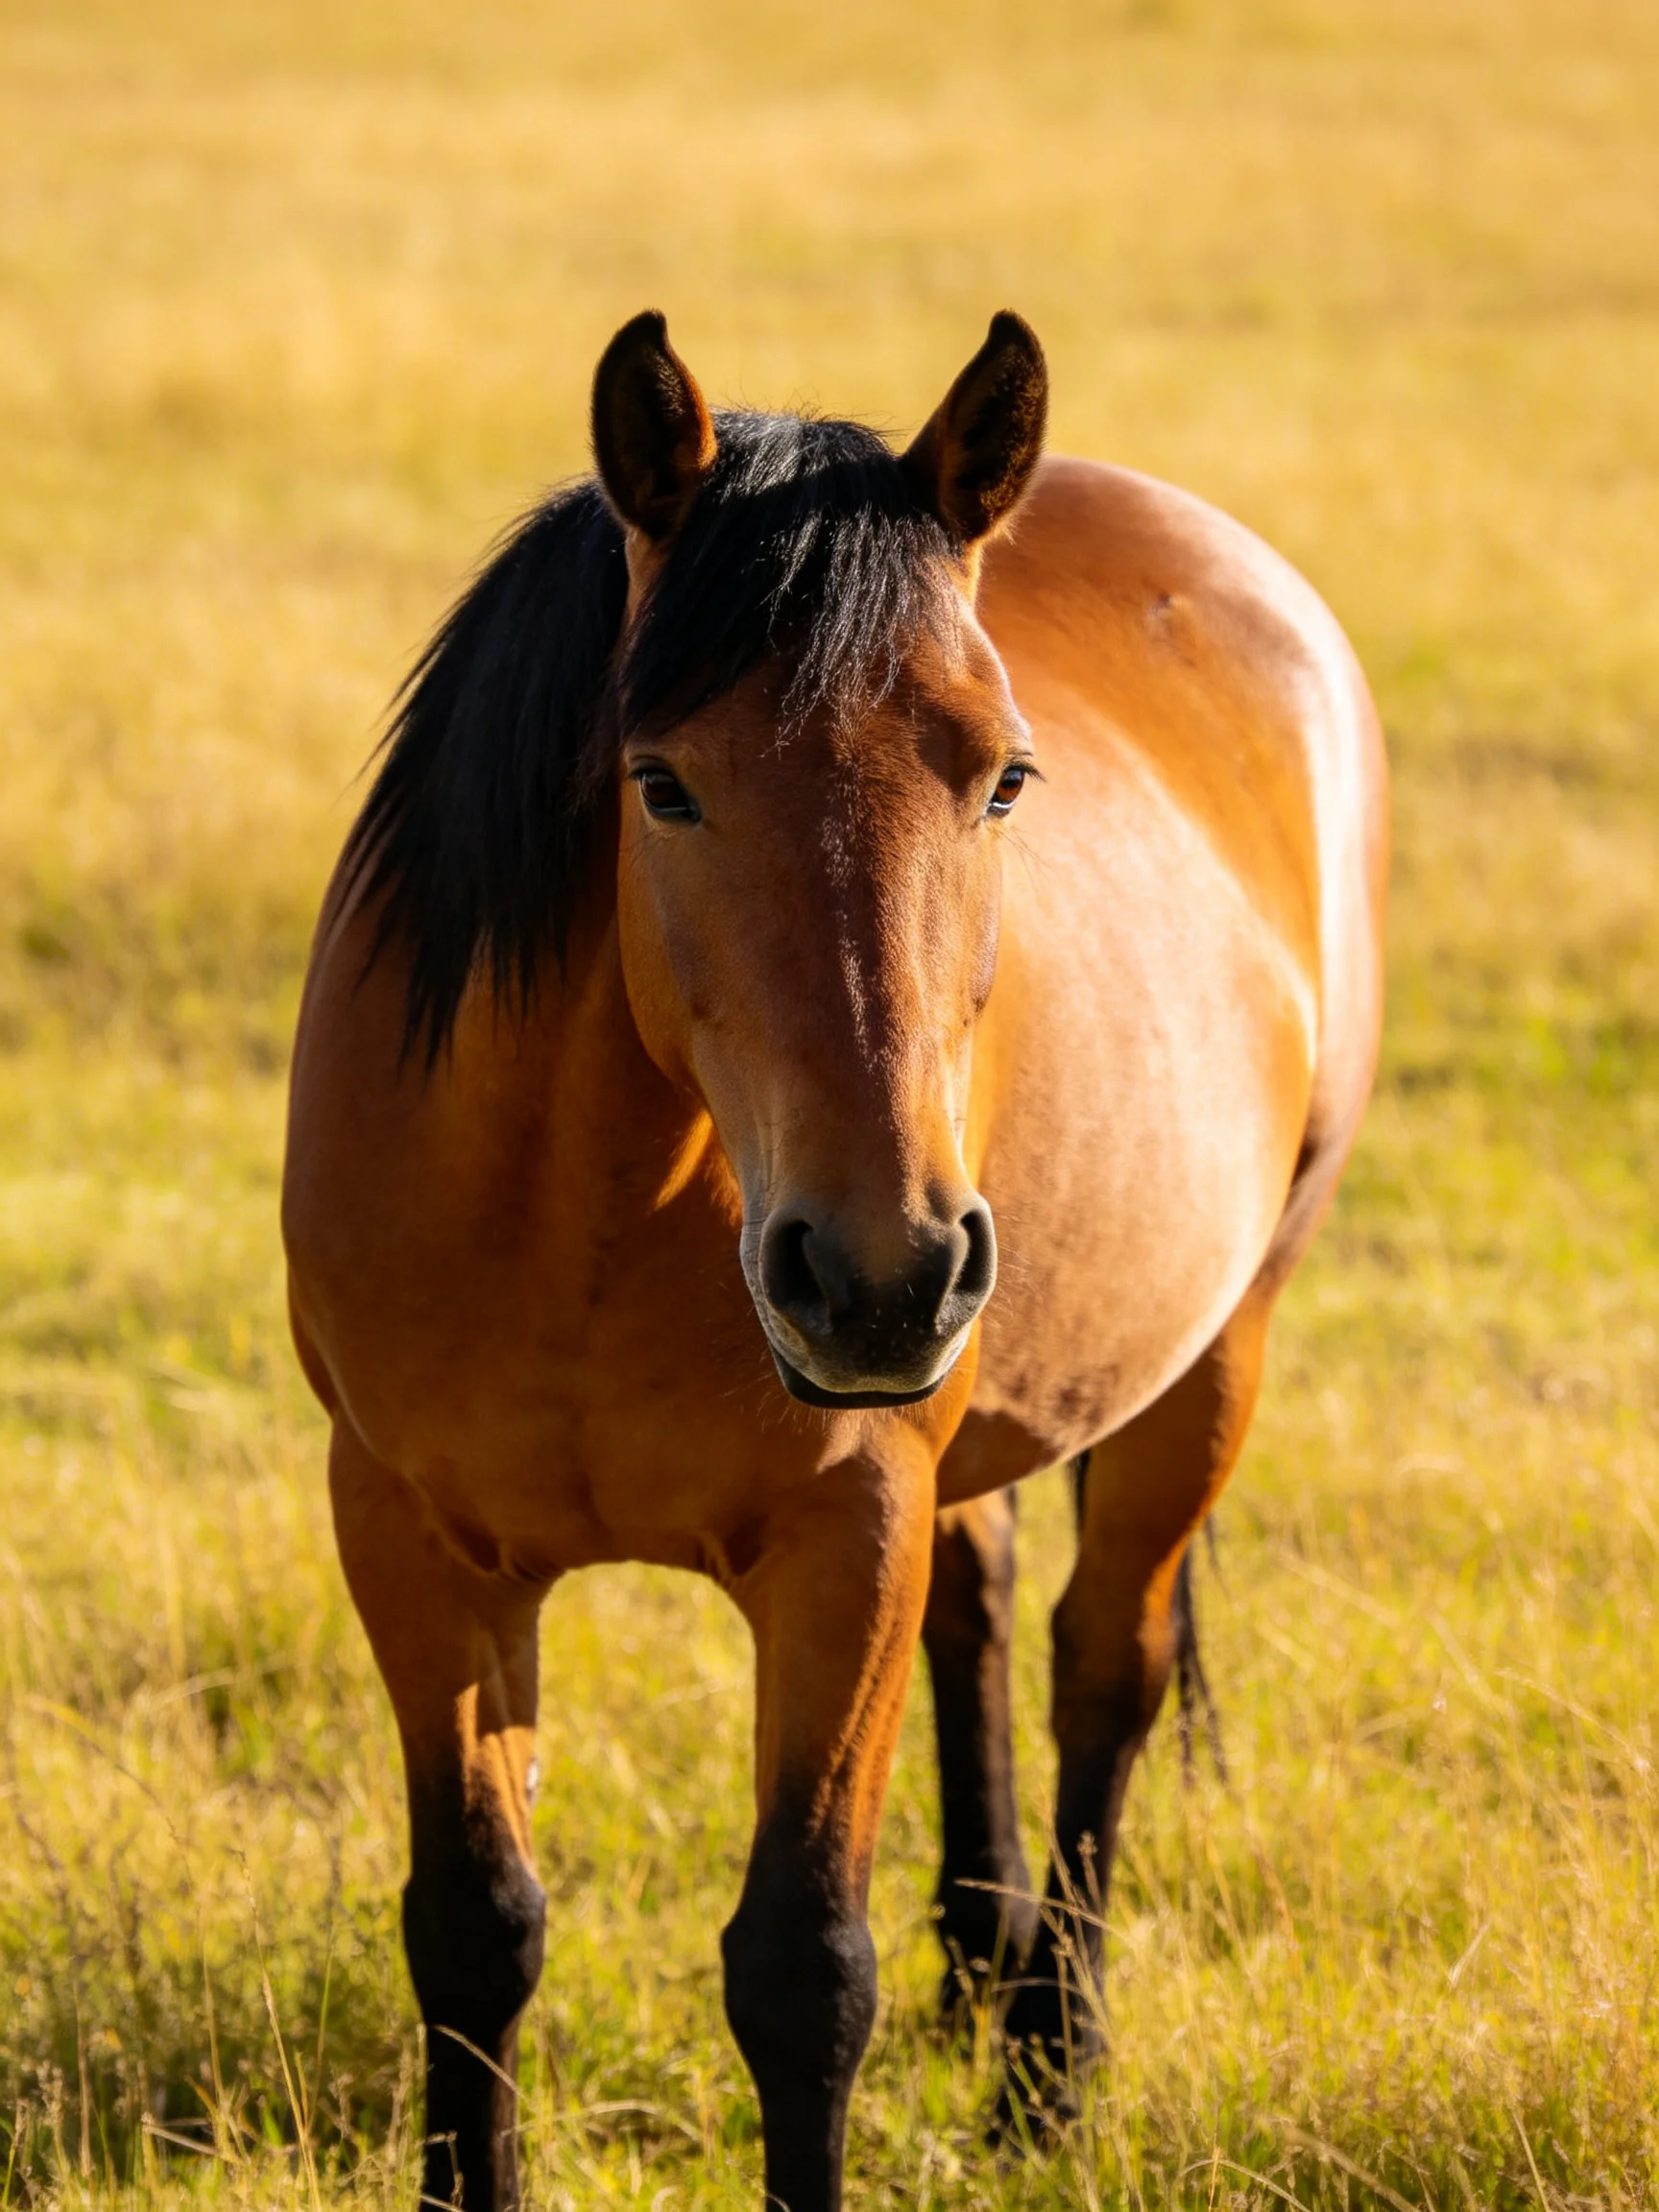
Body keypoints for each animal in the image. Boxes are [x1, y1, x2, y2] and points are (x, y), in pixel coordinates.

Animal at [282, 308, 1387, 2212]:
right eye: (660, 780)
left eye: (1003, 775)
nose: (880, 1273)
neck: (585, 1217)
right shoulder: (415, 1542)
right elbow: (472, 1930)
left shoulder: (839, 1537)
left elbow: (800, 1971)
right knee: (988, 1609)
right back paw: (980, 1969)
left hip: (1212, 1351)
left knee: (1105, 1664)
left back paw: (1046, 2072)